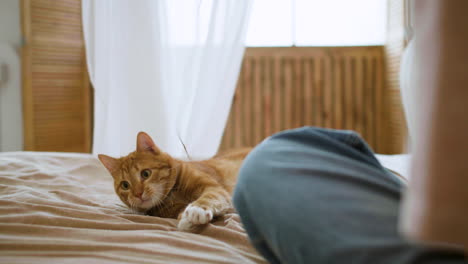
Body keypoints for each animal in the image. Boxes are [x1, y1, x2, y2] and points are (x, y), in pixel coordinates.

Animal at [97, 132, 250, 231]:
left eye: (145, 174)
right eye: (125, 185)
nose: (138, 194)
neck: (173, 194)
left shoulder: (214, 188)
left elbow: (209, 197)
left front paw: (196, 210)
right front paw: (187, 220)